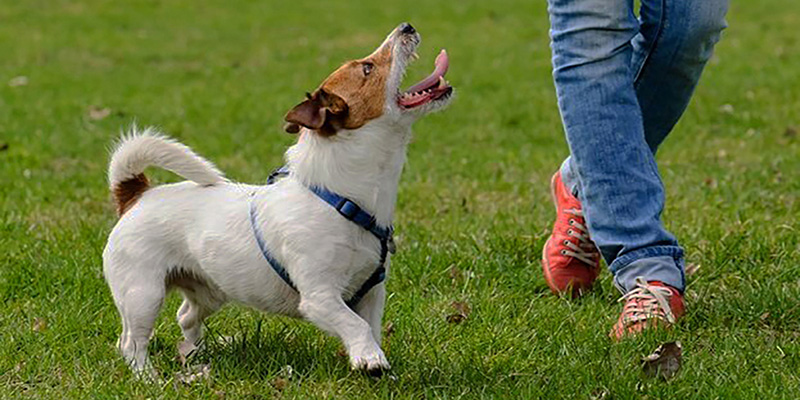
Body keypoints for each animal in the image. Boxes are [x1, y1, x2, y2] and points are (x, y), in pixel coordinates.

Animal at [101, 23, 450, 376]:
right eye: (367, 67)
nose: (406, 26)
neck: (341, 199)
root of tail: (138, 194)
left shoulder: (372, 293)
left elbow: (371, 328)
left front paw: (370, 360)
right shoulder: (319, 297)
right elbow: (355, 325)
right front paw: (370, 357)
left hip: (209, 290)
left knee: (184, 317)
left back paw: (195, 356)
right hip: (142, 294)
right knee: (131, 342)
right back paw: (148, 377)